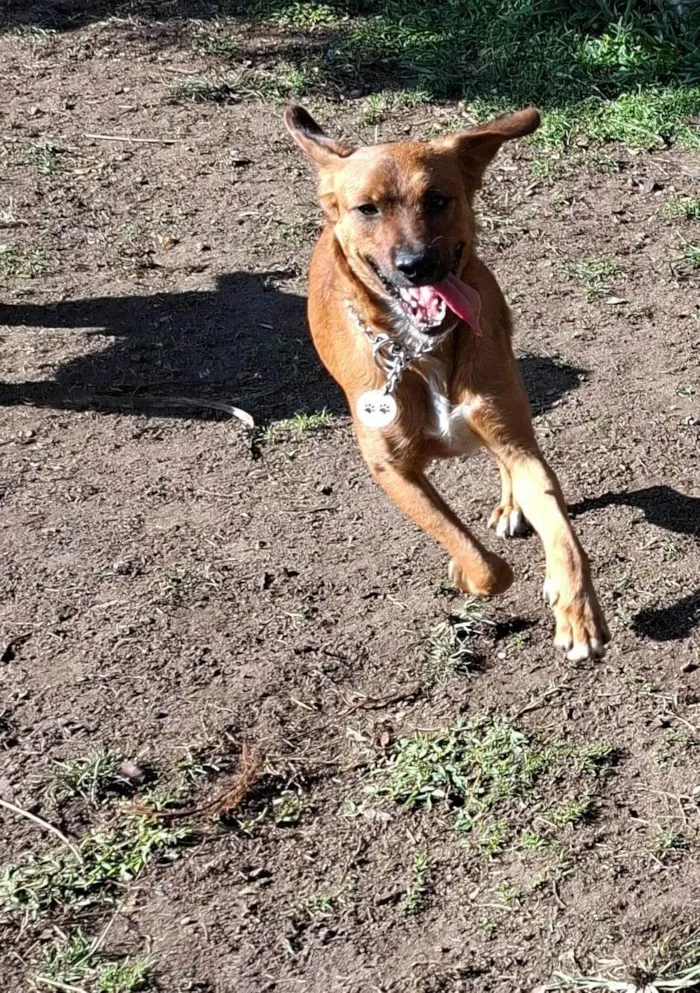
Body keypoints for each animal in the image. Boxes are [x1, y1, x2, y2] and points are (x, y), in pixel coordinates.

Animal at [284, 102, 608, 660]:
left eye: (437, 199)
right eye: (367, 209)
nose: (417, 265)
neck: (420, 350)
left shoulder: (509, 431)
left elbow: (561, 530)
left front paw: (575, 608)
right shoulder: (392, 470)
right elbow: (477, 558)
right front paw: (465, 570)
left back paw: (511, 505)